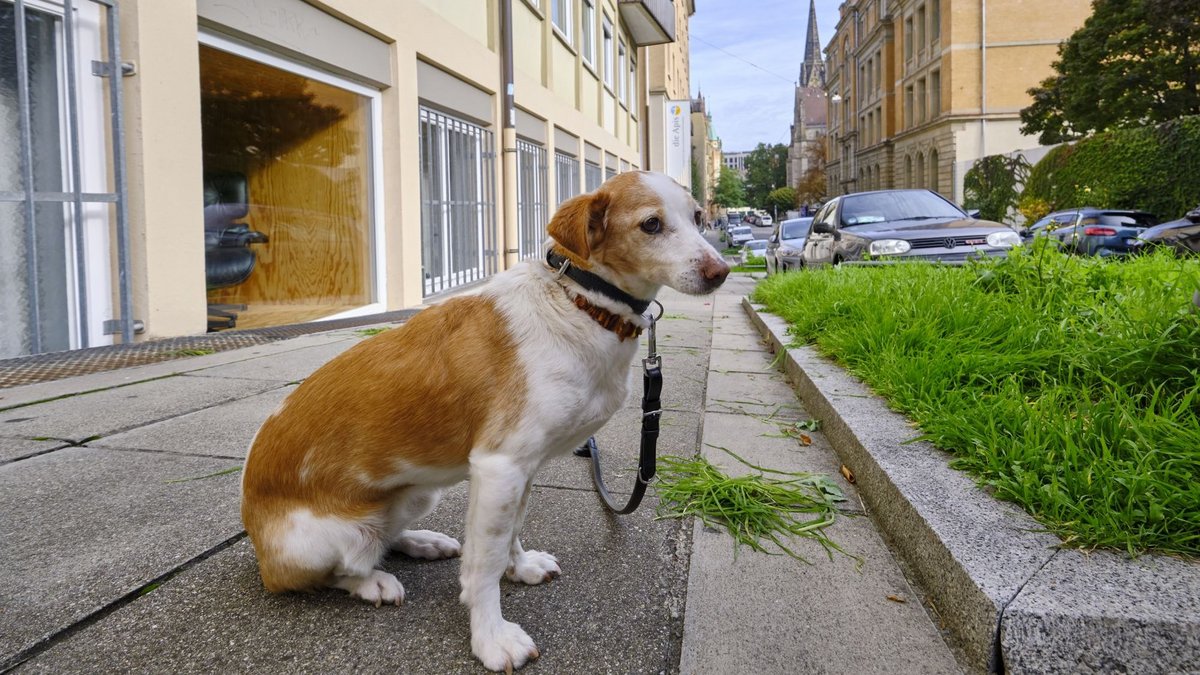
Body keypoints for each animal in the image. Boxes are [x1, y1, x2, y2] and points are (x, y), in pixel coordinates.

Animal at [238, 169, 724, 667]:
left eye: (697, 216)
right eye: (651, 224)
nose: (720, 272)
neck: (580, 302)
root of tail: (254, 531)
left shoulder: (520, 470)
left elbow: (512, 530)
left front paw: (521, 567)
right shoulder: (500, 466)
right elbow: (484, 563)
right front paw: (491, 635)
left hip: (416, 494)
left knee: (386, 537)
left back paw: (422, 542)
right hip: (321, 542)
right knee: (334, 571)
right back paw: (373, 581)